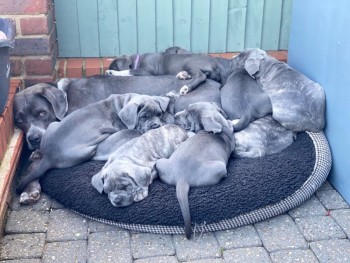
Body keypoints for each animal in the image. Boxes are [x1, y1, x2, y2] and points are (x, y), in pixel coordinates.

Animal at [16, 94, 170, 205]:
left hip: (52, 126)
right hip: (89, 149)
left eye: (159, 114)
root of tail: (49, 154)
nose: (156, 126)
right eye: (143, 117)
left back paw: (36, 154)